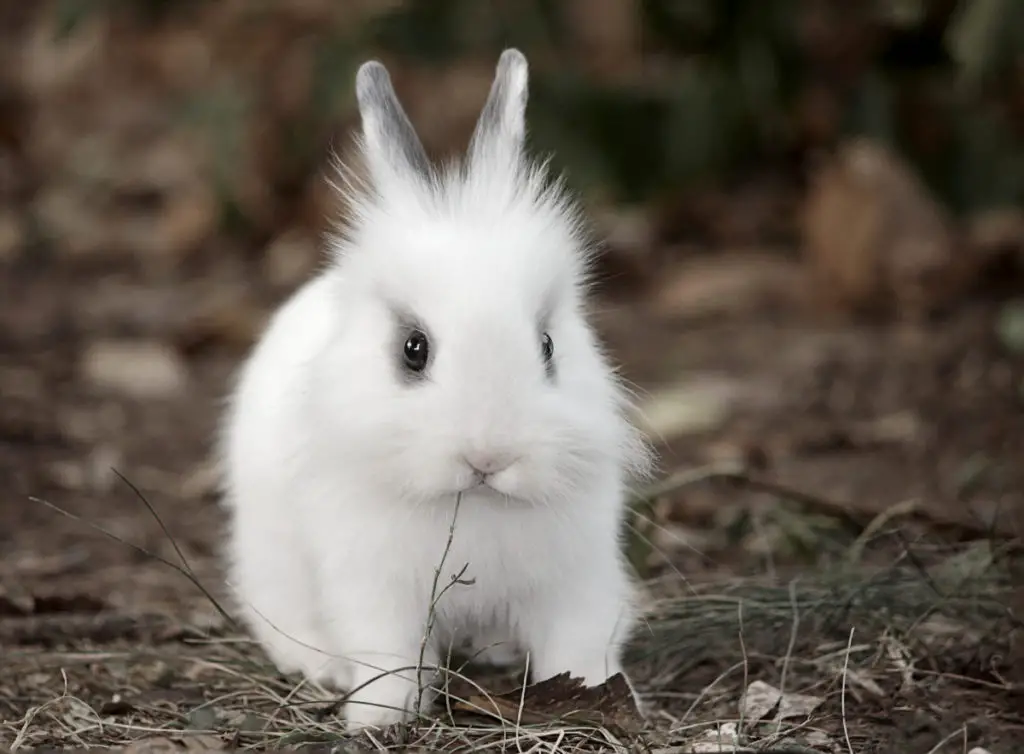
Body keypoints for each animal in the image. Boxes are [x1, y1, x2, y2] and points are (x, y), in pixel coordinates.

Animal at [219, 47, 651, 729]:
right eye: (413, 349)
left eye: (547, 347)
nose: (488, 457)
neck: (470, 503)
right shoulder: (374, 589)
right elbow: (388, 658)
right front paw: (380, 718)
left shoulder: (577, 579)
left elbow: (577, 647)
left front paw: (599, 694)